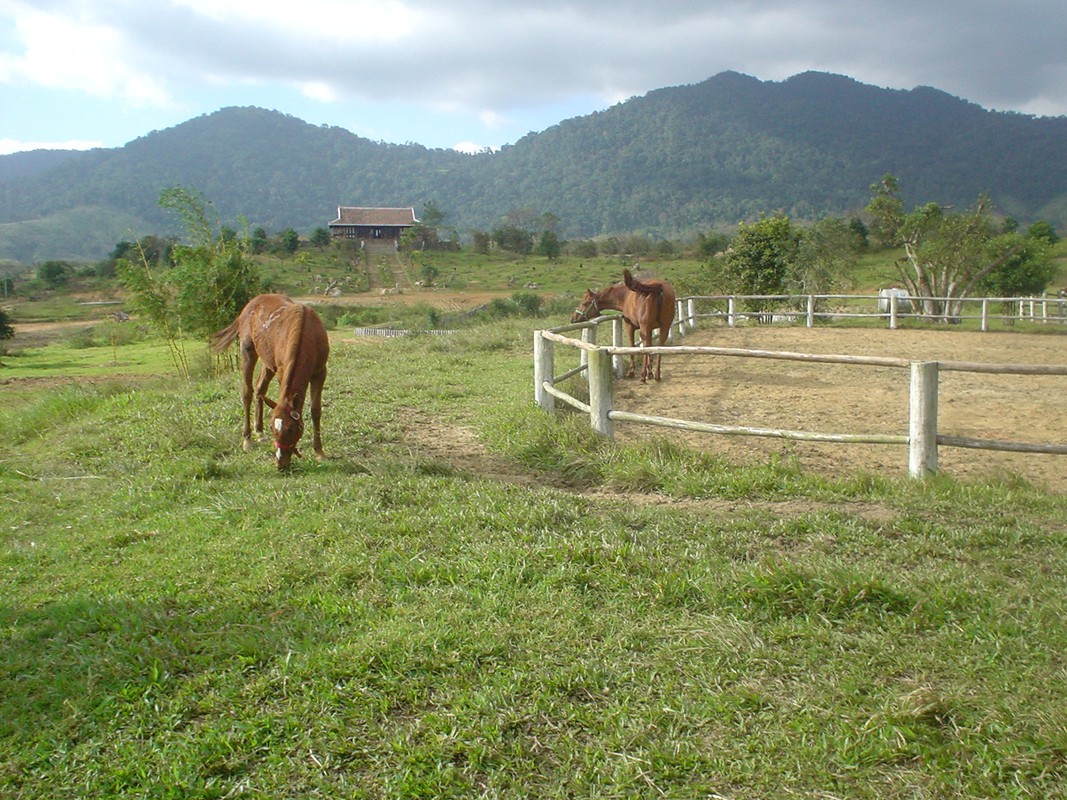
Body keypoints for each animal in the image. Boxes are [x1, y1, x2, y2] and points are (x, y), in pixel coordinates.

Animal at [206, 294, 324, 469]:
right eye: (272, 427)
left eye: (291, 429)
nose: (280, 463)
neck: (307, 331)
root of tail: (250, 305)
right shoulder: (283, 374)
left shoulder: (320, 373)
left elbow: (315, 411)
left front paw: (319, 452)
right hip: (247, 352)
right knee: (247, 392)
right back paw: (247, 440)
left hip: (268, 364)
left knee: (260, 389)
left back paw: (259, 432)